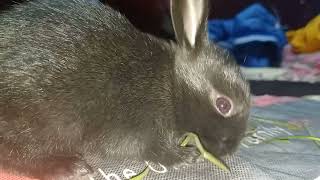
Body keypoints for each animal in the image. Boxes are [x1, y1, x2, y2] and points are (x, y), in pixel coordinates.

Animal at [0, 0, 250, 179]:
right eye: (223, 104)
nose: (230, 149)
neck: (171, 84)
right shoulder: (140, 130)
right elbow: (152, 150)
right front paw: (185, 156)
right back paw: (69, 167)